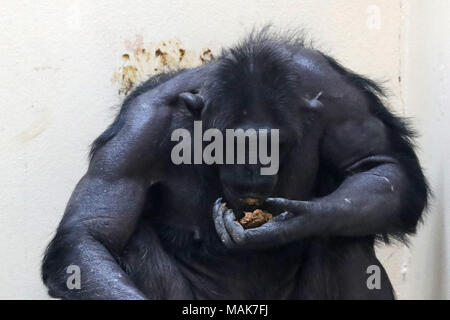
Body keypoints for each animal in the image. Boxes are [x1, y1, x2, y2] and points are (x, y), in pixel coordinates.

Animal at [42, 30, 428, 300]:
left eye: (272, 146)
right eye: (232, 145)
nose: (253, 169)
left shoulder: (336, 94)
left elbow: (378, 165)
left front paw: (298, 220)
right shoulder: (140, 129)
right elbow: (91, 233)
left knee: (346, 230)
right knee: (129, 241)